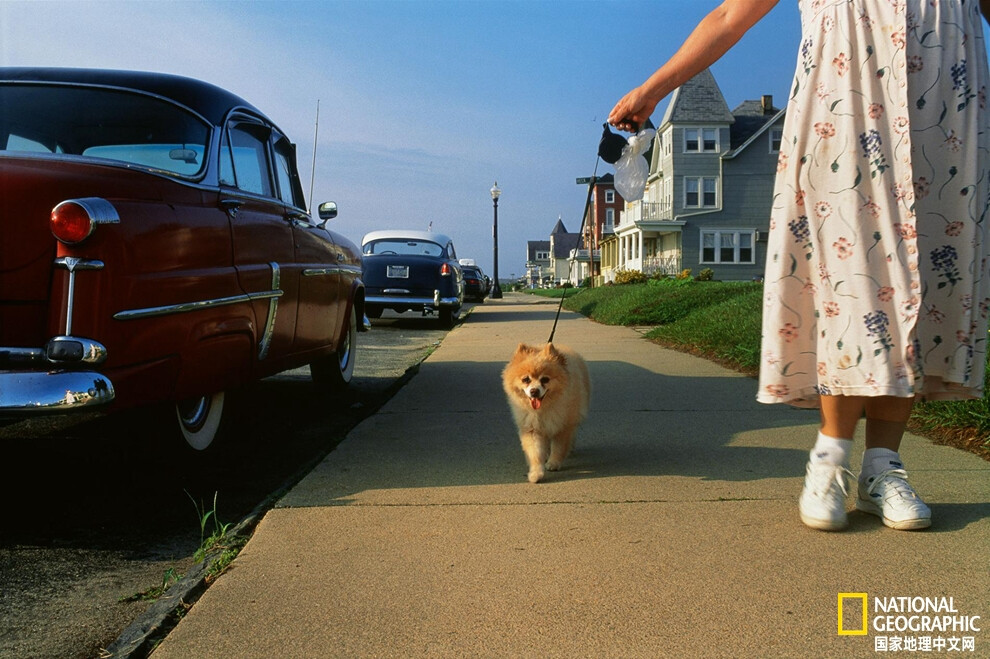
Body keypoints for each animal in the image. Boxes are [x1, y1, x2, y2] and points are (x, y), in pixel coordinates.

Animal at [504, 346, 588, 484]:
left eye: (545, 379)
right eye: (526, 379)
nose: (534, 391)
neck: (542, 409)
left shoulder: (562, 425)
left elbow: (559, 447)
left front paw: (554, 463)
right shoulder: (532, 428)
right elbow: (535, 453)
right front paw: (536, 473)